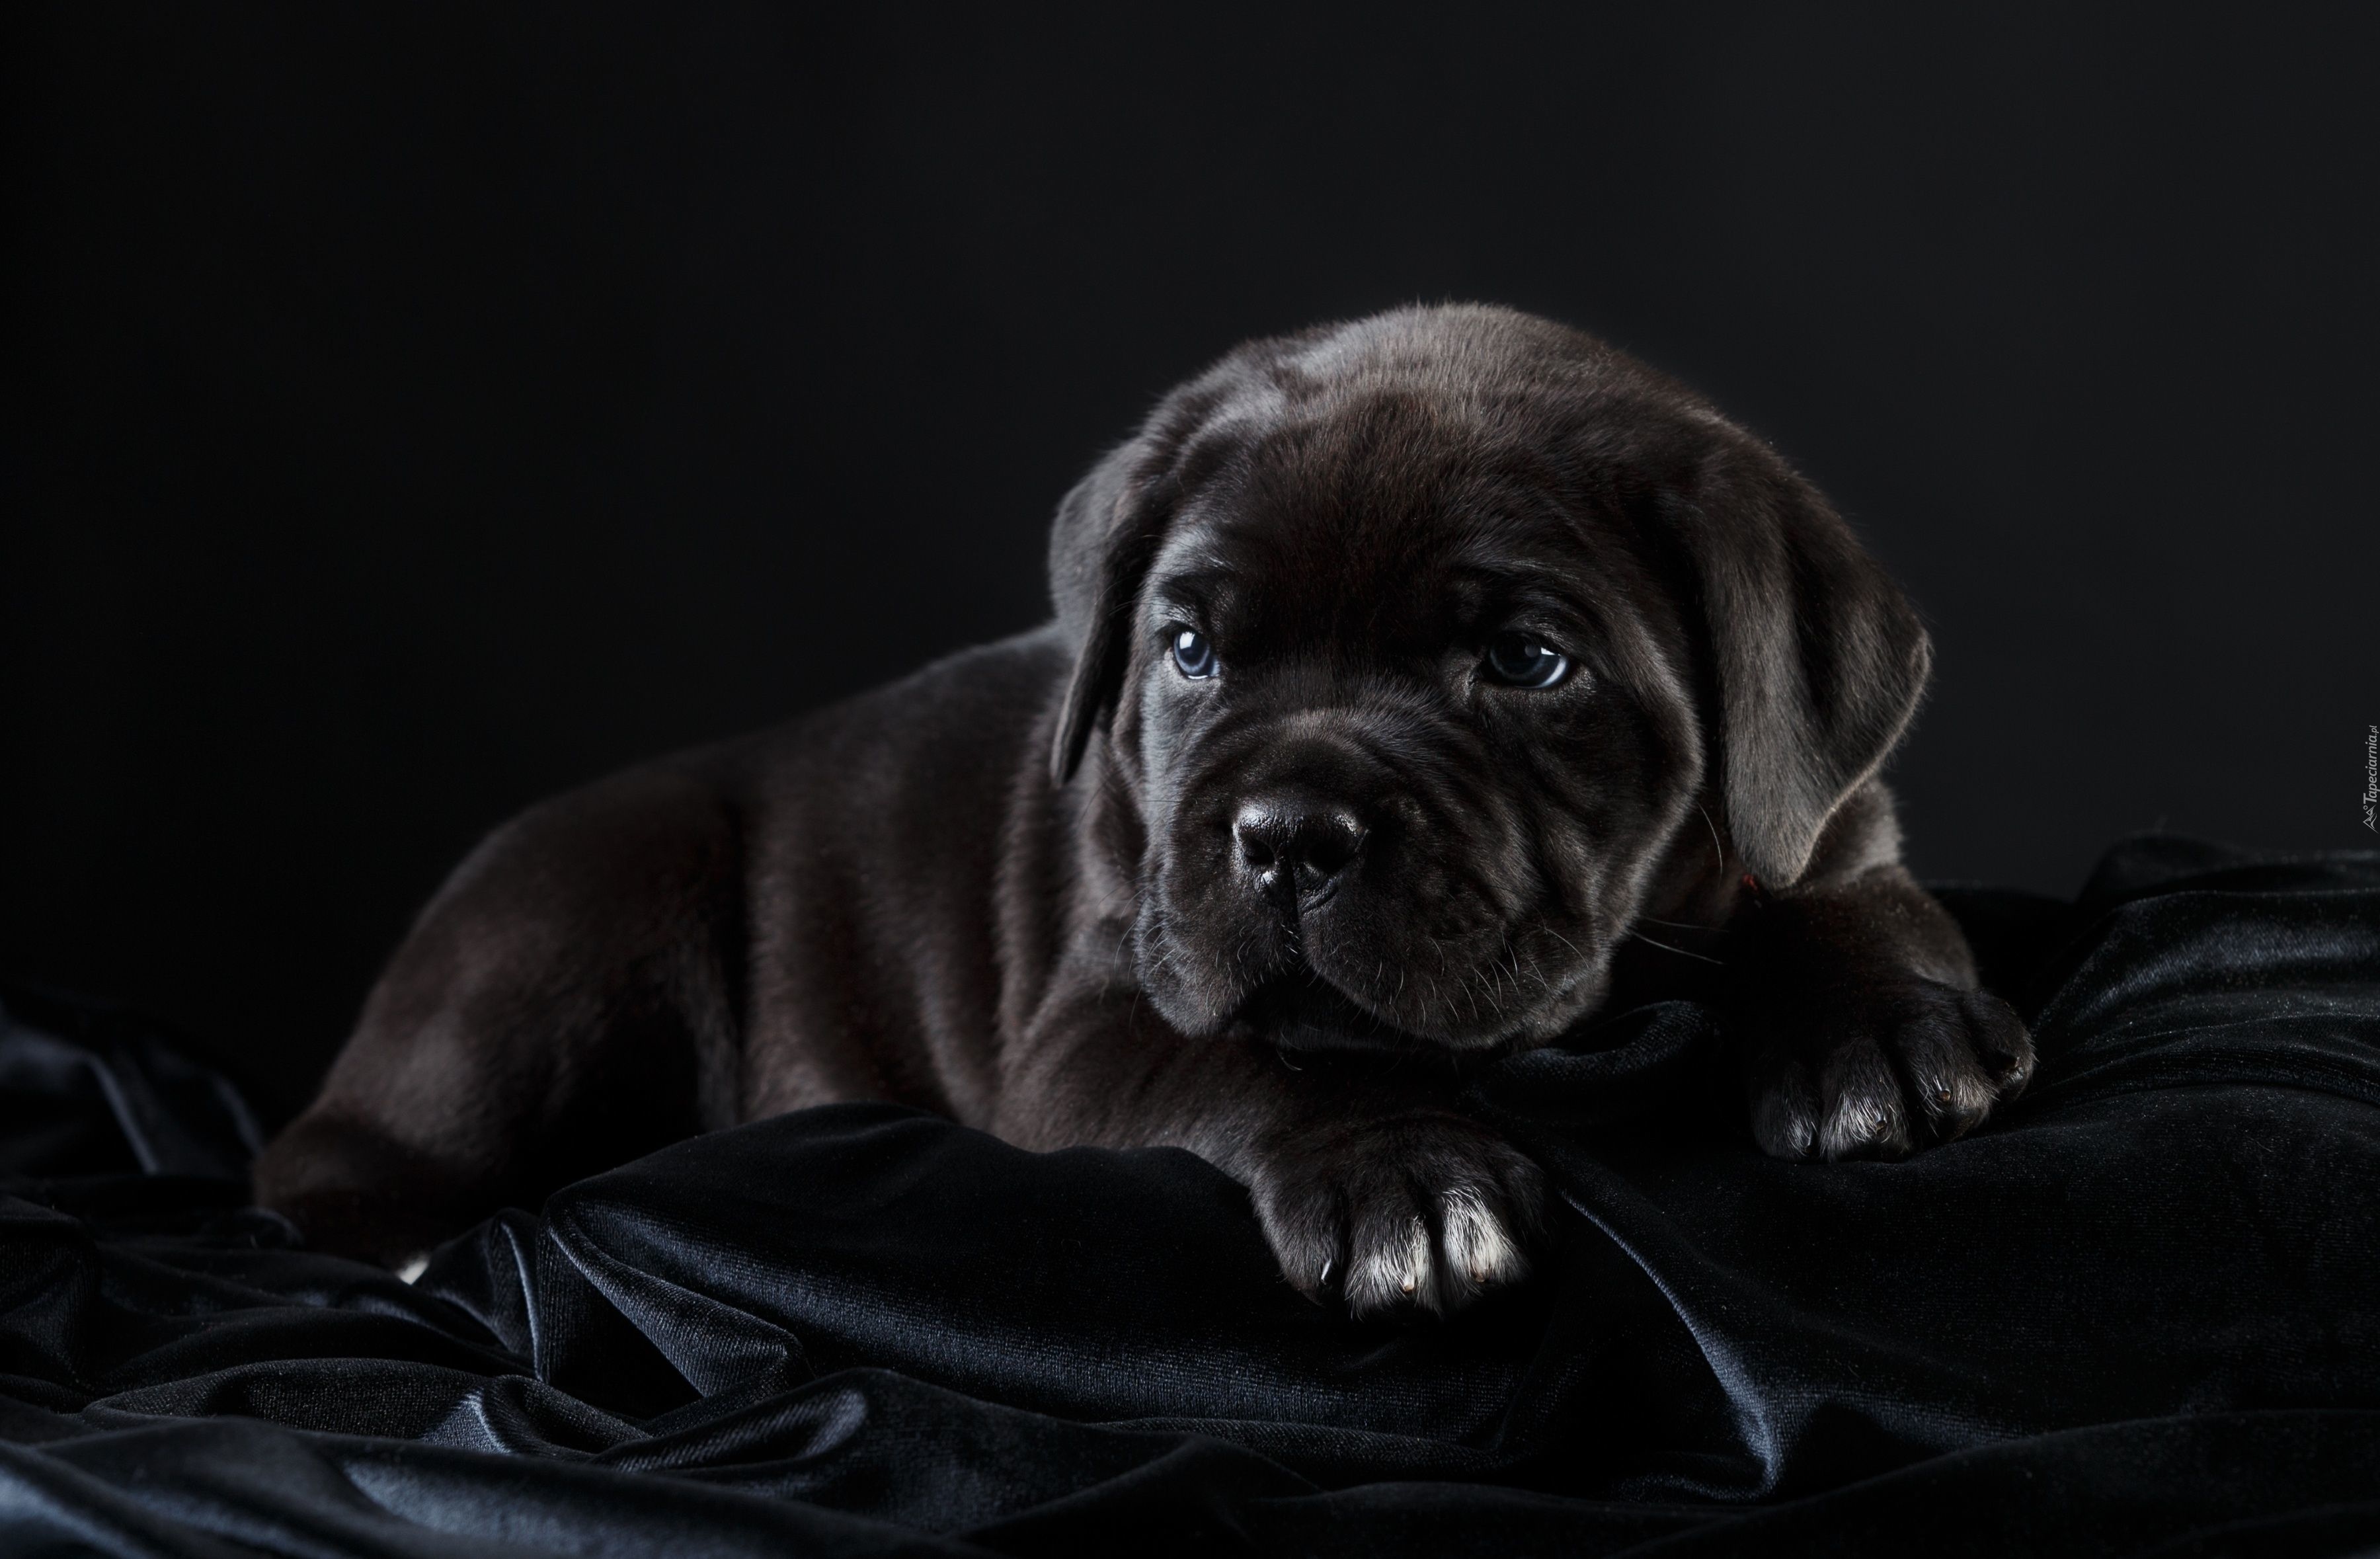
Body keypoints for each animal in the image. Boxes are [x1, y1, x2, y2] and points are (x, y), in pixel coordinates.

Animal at [256, 304, 2028, 1314]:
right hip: (596, 888)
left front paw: (1882, 1030)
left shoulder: (1826, 810)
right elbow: (1245, 1053)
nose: (1290, 833)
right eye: (1187, 649)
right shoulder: (1096, 1015)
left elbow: (1841, 883)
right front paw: (1396, 1170)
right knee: (327, 1162)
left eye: (1530, 663)